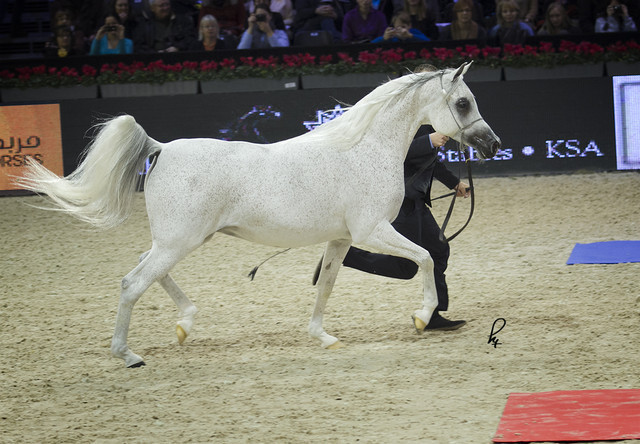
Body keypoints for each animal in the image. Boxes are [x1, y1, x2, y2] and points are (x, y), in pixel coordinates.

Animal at [17, 62, 501, 368]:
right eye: (462, 102)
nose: (492, 144)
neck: (362, 150)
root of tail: (161, 148)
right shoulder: (372, 231)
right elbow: (424, 258)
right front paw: (423, 316)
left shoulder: (342, 239)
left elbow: (326, 285)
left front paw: (324, 337)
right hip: (179, 241)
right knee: (133, 283)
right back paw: (129, 355)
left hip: (177, 240)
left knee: (144, 270)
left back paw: (184, 324)